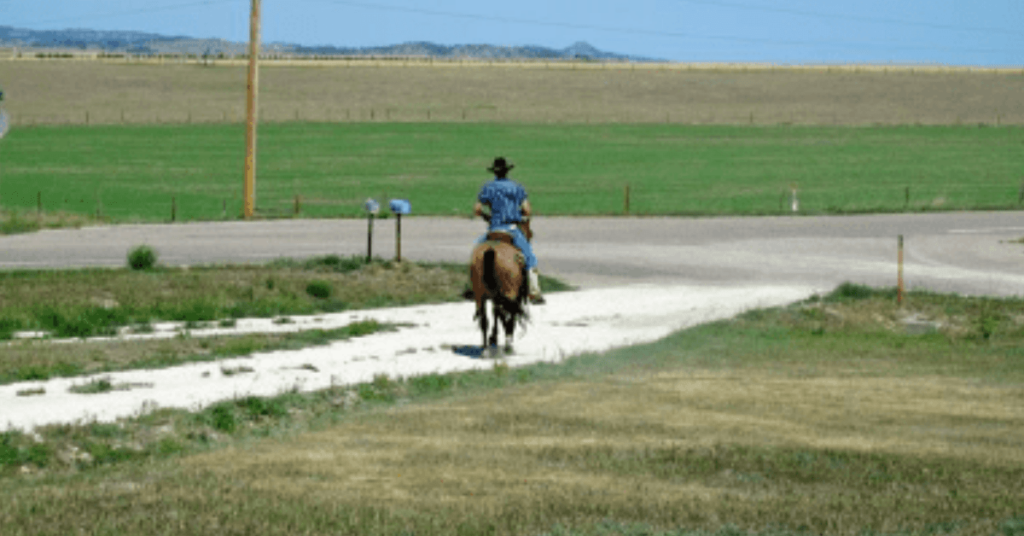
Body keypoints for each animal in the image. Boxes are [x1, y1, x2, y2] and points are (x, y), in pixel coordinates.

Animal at [471, 220, 536, 354]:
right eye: (530, 234)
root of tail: (491, 250)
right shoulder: (514, 296)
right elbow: (505, 314)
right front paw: (500, 338)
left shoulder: (494, 297)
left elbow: (495, 313)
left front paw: (493, 338)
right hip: (510, 294)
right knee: (509, 313)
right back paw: (508, 343)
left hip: (480, 295)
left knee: (484, 319)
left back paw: (485, 348)